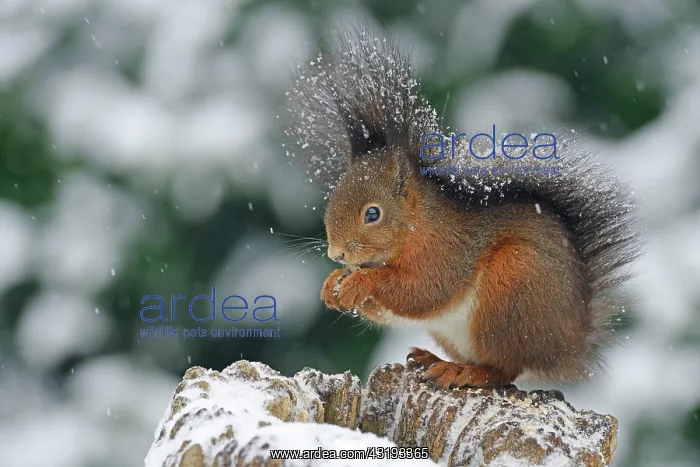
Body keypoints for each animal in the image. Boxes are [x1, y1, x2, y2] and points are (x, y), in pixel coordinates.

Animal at [284, 26, 642, 389]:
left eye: (373, 213)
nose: (336, 253)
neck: (415, 225)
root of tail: (568, 347)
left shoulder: (447, 250)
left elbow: (423, 290)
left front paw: (361, 282)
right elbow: (386, 309)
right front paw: (332, 285)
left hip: (512, 287)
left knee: (505, 368)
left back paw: (464, 372)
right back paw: (433, 359)